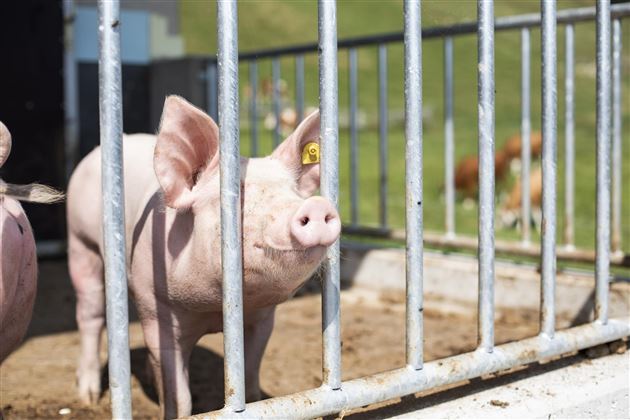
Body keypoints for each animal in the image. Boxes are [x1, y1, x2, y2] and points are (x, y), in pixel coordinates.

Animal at [67, 96, 344, 420]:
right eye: (238, 193)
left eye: (294, 192)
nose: (315, 205)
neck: (212, 308)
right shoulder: (157, 310)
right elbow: (179, 396)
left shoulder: (263, 319)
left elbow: (250, 382)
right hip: (80, 242)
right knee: (90, 313)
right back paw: (87, 397)